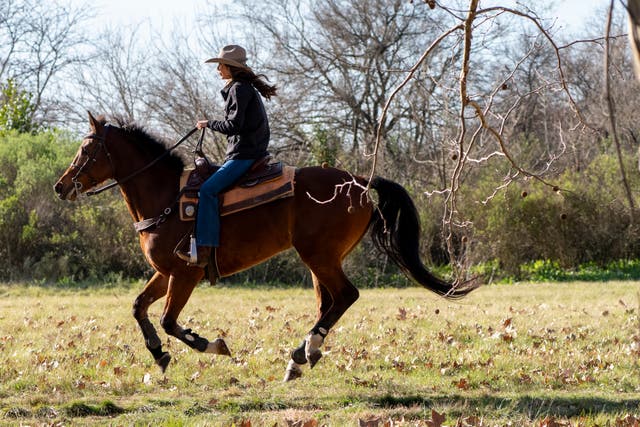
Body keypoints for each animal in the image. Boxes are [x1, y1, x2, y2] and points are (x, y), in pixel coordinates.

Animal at [53, 112, 477, 381]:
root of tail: (358, 181)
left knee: (345, 296)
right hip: (321, 260)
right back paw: (304, 356)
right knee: (329, 302)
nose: (60, 186)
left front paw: (213, 345)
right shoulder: (166, 272)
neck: (166, 198)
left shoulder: (186, 273)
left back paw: (301, 354)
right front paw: (158, 355)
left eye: (86, 150)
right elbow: (139, 306)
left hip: (318, 256)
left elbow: (169, 321)